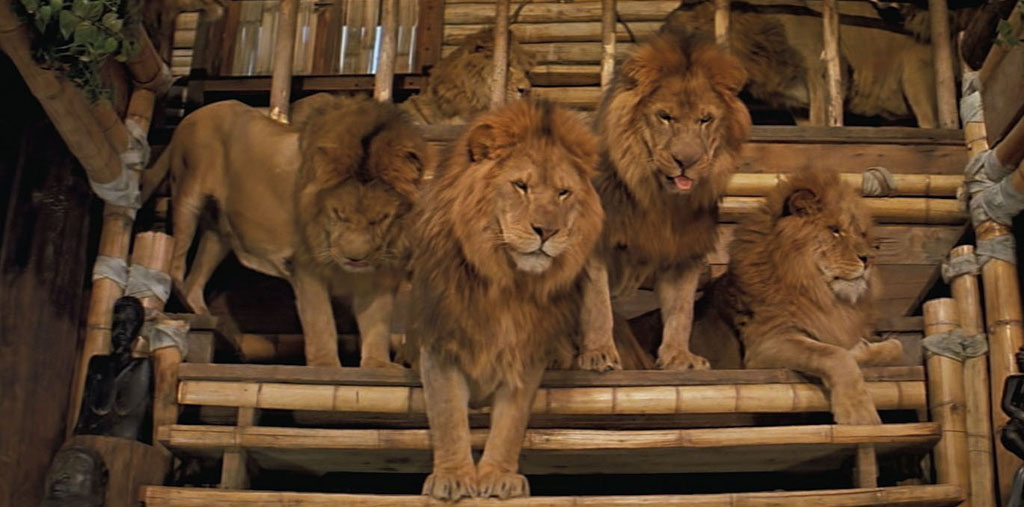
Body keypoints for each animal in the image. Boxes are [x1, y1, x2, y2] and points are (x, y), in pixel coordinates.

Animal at [140, 96, 426, 367]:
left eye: (380, 219)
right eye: (338, 214)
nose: (354, 259)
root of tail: (191, 115)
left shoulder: (379, 276)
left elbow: (376, 324)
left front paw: (378, 364)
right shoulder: (305, 265)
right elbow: (320, 321)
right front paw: (325, 365)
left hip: (218, 233)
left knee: (195, 279)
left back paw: (205, 315)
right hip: (188, 195)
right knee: (177, 264)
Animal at [409, 100, 603, 501]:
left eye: (563, 193)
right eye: (521, 186)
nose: (547, 231)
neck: (507, 285)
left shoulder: (525, 352)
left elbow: (511, 423)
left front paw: (498, 477)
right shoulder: (441, 343)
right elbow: (448, 415)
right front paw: (453, 477)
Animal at [577, 29, 751, 372]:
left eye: (705, 119)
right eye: (665, 117)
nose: (686, 161)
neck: (658, 200)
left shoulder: (684, 251)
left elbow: (681, 310)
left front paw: (678, 356)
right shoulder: (594, 246)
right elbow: (597, 304)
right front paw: (599, 353)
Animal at [690, 168, 904, 424]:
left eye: (861, 233)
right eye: (835, 230)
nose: (869, 259)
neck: (820, 293)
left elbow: (897, 348)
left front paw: (861, 350)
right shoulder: (766, 345)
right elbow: (834, 354)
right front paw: (858, 413)